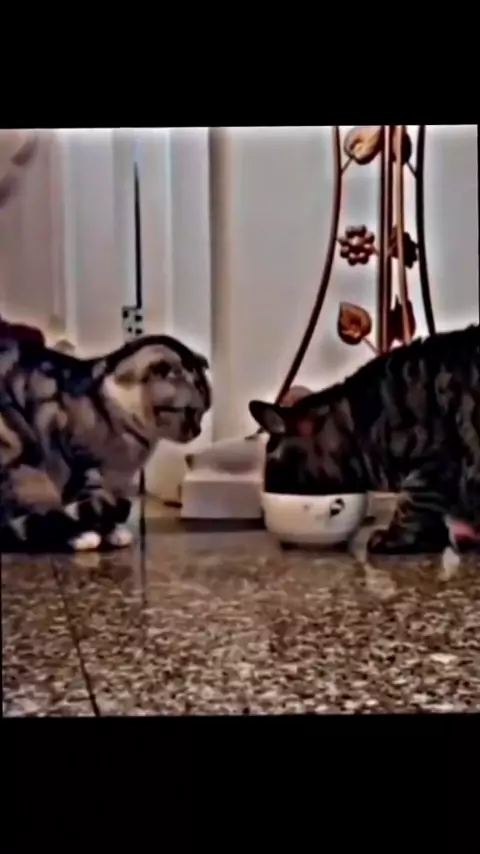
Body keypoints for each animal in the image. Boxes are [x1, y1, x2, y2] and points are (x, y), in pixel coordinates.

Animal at [0, 334, 211, 553]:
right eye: (188, 411)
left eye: (203, 411)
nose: (198, 431)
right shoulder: (83, 466)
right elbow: (92, 503)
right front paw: (93, 532)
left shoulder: (112, 483)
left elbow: (102, 507)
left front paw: (111, 531)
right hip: (23, 465)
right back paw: (77, 536)